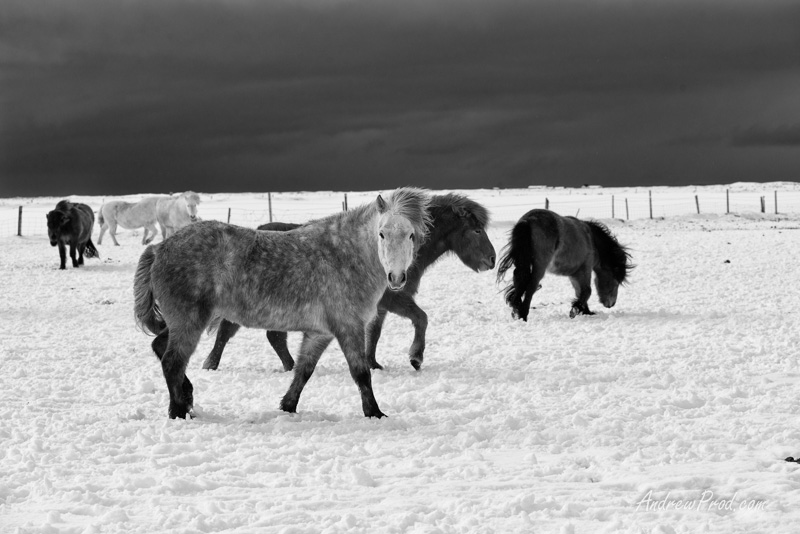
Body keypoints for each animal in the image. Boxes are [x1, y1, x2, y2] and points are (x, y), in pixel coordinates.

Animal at [136, 186, 432, 420]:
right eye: (382, 233)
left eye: (411, 235)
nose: (396, 277)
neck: (344, 257)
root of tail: (159, 248)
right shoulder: (349, 327)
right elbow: (360, 372)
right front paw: (374, 412)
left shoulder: (320, 333)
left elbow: (303, 371)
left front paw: (287, 406)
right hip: (190, 321)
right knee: (172, 362)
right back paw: (178, 410)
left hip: (186, 321)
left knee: (160, 348)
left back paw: (186, 399)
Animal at [203, 195, 496, 374]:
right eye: (477, 230)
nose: (492, 259)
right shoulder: (395, 298)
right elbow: (421, 318)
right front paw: (415, 357)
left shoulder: (379, 306)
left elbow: (374, 334)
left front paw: (372, 362)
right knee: (231, 331)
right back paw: (212, 364)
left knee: (270, 336)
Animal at [496, 209, 636, 320]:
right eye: (616, 282)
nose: (611, 304)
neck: (591, 240)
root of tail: (528, 220)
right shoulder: (585, 269)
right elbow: (587, 291)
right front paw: (575, 310)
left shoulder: (574, 274)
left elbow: (580, 292)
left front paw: (585, 311)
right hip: (539, 266)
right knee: (531, 286)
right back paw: (523, 314)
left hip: (522, 262)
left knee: (520, 279)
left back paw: (516, 309)